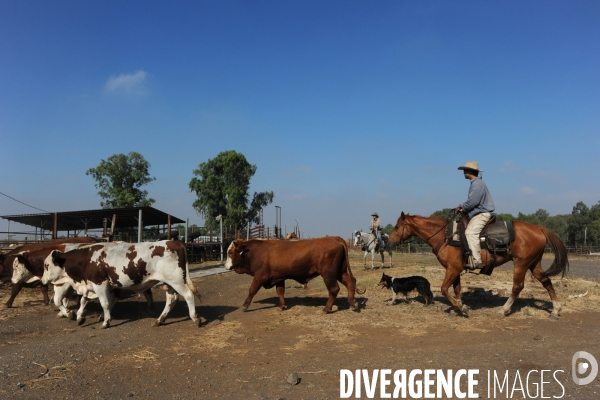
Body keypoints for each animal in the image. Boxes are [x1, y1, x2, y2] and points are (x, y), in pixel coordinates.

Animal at [42, 241, 203, 328]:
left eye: (46, 265)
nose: (43, 280)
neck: (86, 259)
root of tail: (175, 242)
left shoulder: (100, 284)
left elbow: (105, 303)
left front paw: (106, 322)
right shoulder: (90, 285)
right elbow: (83, 300)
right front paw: (80, 317)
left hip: (176, 280)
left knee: (188, 295)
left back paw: (195, 318)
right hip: (169, 282)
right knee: (172, 299)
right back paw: (159, 320)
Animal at [224, 238, 360, 312]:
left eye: (230, 253)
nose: (225, 266)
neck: (255, 252)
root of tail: (335, 238)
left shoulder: (260, 276)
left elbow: (252, 290)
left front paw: (244, 306)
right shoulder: (278, 277)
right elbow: (280, 291)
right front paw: (282, 306)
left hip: (328, 274)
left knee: (334, 289)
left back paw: (327, 308)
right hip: (340, 272)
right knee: (350, 282)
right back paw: (353, 302)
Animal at [390, 212, 568, 318]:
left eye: (397, 226)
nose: (389, 241)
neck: (445, 236)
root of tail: (539, 228)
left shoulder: (452, 269)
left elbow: (444, 289)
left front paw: (461, 307)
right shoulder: (455, 269)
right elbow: (457, 289)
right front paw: (459, 306)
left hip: (521, 264)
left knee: (517, 287)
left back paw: (504, 309)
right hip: (534, 264)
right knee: (546, 281)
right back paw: (556, 309)